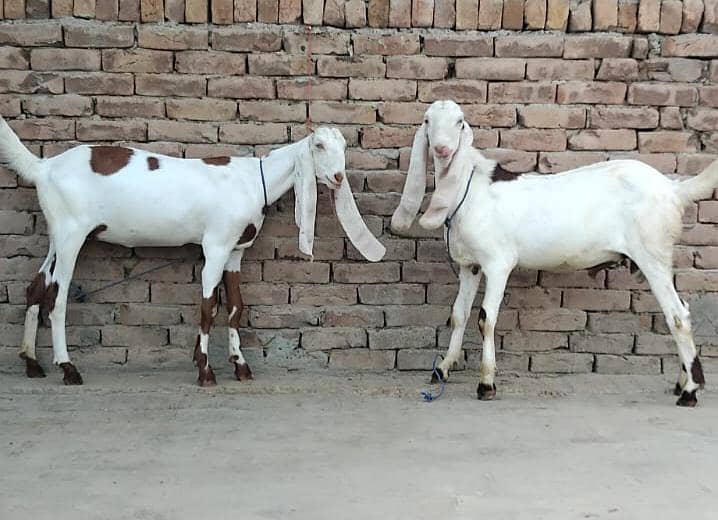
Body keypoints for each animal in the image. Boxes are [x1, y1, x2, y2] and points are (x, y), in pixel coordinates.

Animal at [0, 118, 385, 386]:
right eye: (318, 145)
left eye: (344, 146)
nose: (338, 177)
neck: (252, 179)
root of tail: (43, 168)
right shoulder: (215, 245)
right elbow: (207, 307)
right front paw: (205, 370)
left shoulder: (235, 251)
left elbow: (235, 307)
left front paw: (240, 367)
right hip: (71, 235)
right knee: (58, 297)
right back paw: (68, 369)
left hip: (57, 234)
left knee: (36, 288)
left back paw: (32, 363)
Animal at [392, 100, 717, 407]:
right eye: (427, 121)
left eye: (459, 122)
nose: (442, 149)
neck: (470, 190)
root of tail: (673, 189)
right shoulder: (470, 265)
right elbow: (458, 314)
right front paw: (443, 368)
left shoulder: (498, 263)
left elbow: (486, 319)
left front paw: (486, 384)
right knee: (682, 308)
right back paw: (682, 382)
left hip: (652, 253)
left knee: (677, 316)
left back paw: (690, 391)